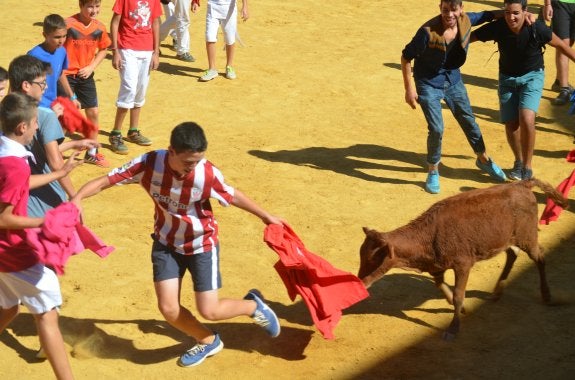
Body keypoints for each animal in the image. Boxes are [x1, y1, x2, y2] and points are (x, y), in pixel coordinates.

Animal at [360, 180, 568, 340]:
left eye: (374, 259)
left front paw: (453, 329)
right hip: (507, 239)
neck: (428, 235)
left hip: (528, 238)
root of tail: (522, 183)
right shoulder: (437, 266)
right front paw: (463, 310)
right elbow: (443, 288)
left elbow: (458, 295)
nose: (362, 282)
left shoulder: (463, 265)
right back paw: (497, 292)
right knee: (512, 254)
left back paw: (547, 296)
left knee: (539, 257)